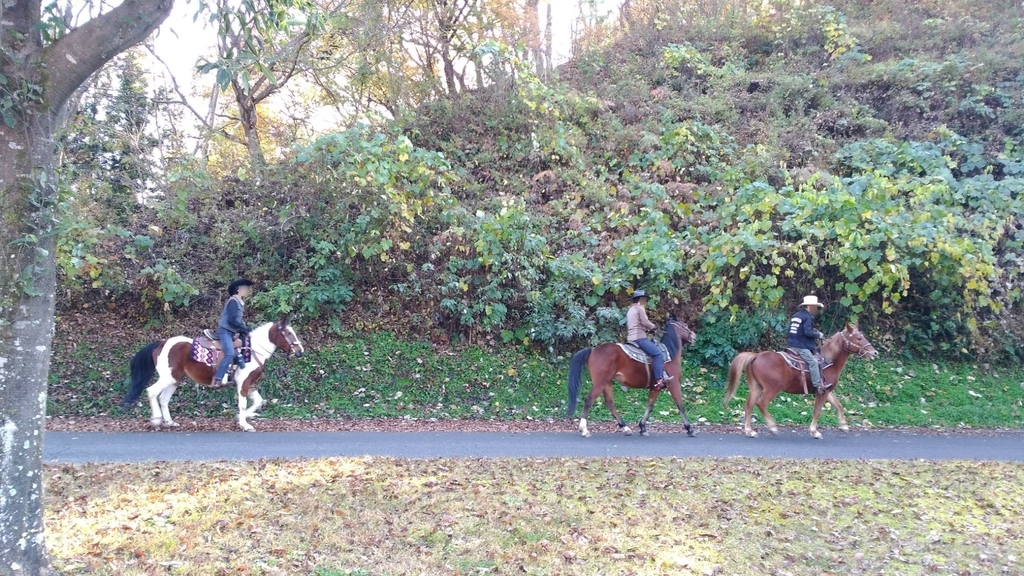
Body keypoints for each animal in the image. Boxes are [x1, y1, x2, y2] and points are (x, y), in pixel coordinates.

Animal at [120, 318, 305, 431]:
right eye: (288, 333)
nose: (300, 351)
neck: (253, 350)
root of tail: (161, 343)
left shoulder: (250, 384)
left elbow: (258, 401)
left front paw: (244, 417)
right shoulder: (243, 383)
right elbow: (243, 404)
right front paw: (244, 424)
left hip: (175, 379)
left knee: (164, 399)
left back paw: (170, 422)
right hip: (168, 378)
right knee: (151, 392)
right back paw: (157, 419)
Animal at [567, 318, 698, 438]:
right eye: (685, 325)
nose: (694, 336)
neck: (670, 354)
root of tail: (593, 350)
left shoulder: (655, 388)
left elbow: (649, 406)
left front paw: (642, 428)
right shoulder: (674, 384)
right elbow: (680, 406)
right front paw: (689, 429)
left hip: (607, 382)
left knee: (609, 403)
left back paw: (625, 428)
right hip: (600, 383)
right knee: (589, 400)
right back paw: (584, 429)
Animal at [723, 323, 877, 439]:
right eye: (859, 338)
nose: (874, 353)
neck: (829, 361)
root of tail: (755, 356)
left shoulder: (827, 391)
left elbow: (839, 405)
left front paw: (843, 425)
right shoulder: (822, 392)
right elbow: (817, 411)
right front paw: (814, 432)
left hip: (756, 387)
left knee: (749, 405)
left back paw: (750, 431)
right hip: (772, 389)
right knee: (761, 403)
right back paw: (772, 427)